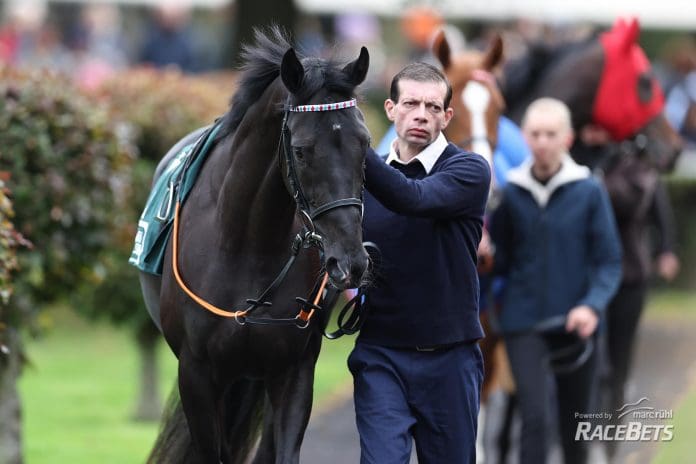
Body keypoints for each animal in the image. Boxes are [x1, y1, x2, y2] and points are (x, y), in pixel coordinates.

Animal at [139, 27, 372, 462]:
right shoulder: (197, 374)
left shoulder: (293, 369)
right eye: (301, 150)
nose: (350, 261)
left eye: (364, 144)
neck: (247, 245)